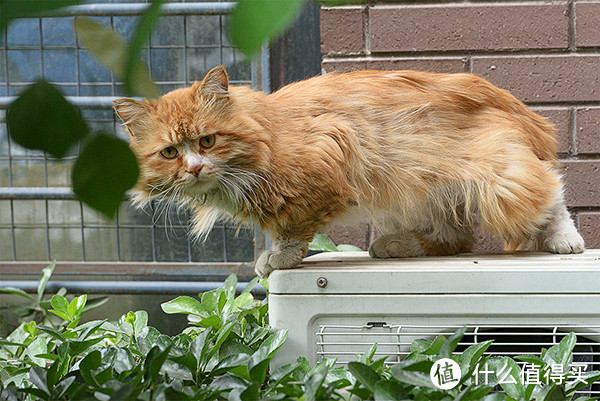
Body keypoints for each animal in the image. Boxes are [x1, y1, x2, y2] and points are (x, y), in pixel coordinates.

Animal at [115, 66, 584, 278]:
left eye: (208, 141)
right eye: (170, 152)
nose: (194, 169)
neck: (268, 132)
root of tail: (513, 104)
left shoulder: (324, 161)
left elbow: (292, 230)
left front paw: (278, 259)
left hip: (494, 177)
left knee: (550, 189)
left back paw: (566, 240)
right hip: (421, 194)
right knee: (456, 238)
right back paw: (396, 247)